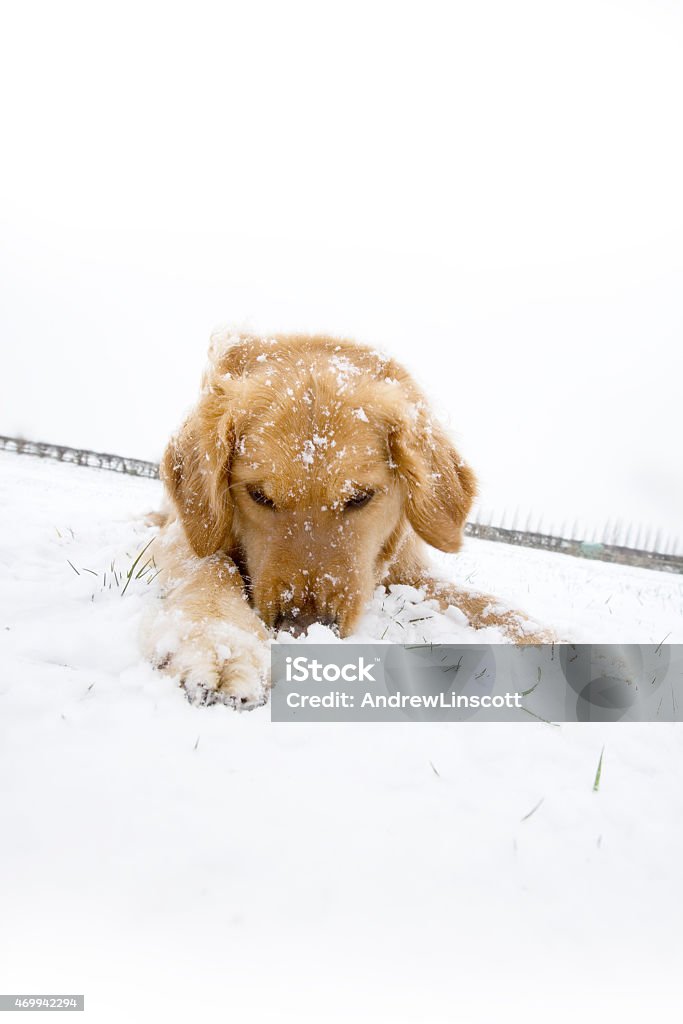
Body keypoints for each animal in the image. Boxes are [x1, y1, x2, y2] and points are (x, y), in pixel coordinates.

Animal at [143, 331, 548, 708]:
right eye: (259, 495)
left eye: (360, 497)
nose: (303, 628)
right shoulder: (188, 534)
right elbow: (210, 567)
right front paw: (221, 645)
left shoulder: (412, 572)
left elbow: (491, 605)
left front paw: (551, 639)